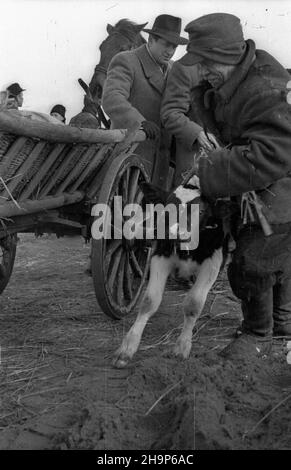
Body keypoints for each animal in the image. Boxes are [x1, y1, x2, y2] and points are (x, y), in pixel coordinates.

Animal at [113, 176, 232, 368]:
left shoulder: (214, 262)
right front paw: (127, 348)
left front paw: (182, 346)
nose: (177, 233)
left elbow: (193, 304)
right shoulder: (161, 255)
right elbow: (149, 301)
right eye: (167, 209)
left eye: (201, 211)